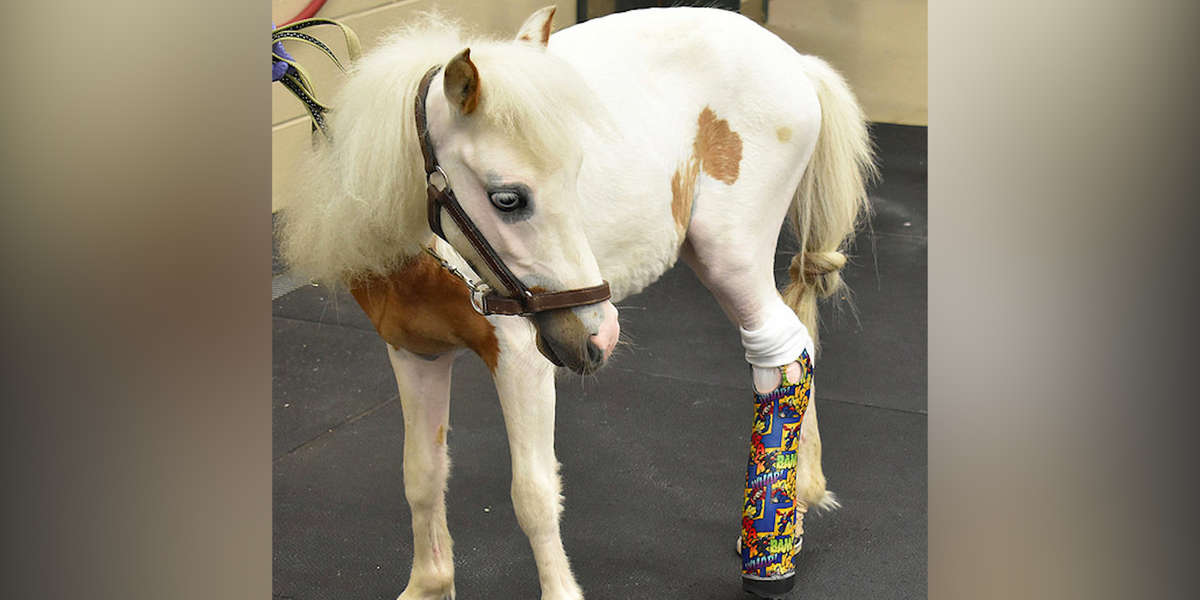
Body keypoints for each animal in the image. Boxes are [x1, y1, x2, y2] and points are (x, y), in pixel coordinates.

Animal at [280, 6, 874, 599]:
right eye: (507, 198)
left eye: (576, 172)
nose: (599, 335)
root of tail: (795, 61)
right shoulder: (414, 352)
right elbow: (421, 475)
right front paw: (430, 583)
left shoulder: (521, 359)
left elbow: (533, 494)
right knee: (795, 338)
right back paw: (794, 517)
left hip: (730, 256)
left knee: (780, 349)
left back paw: (772, 552)